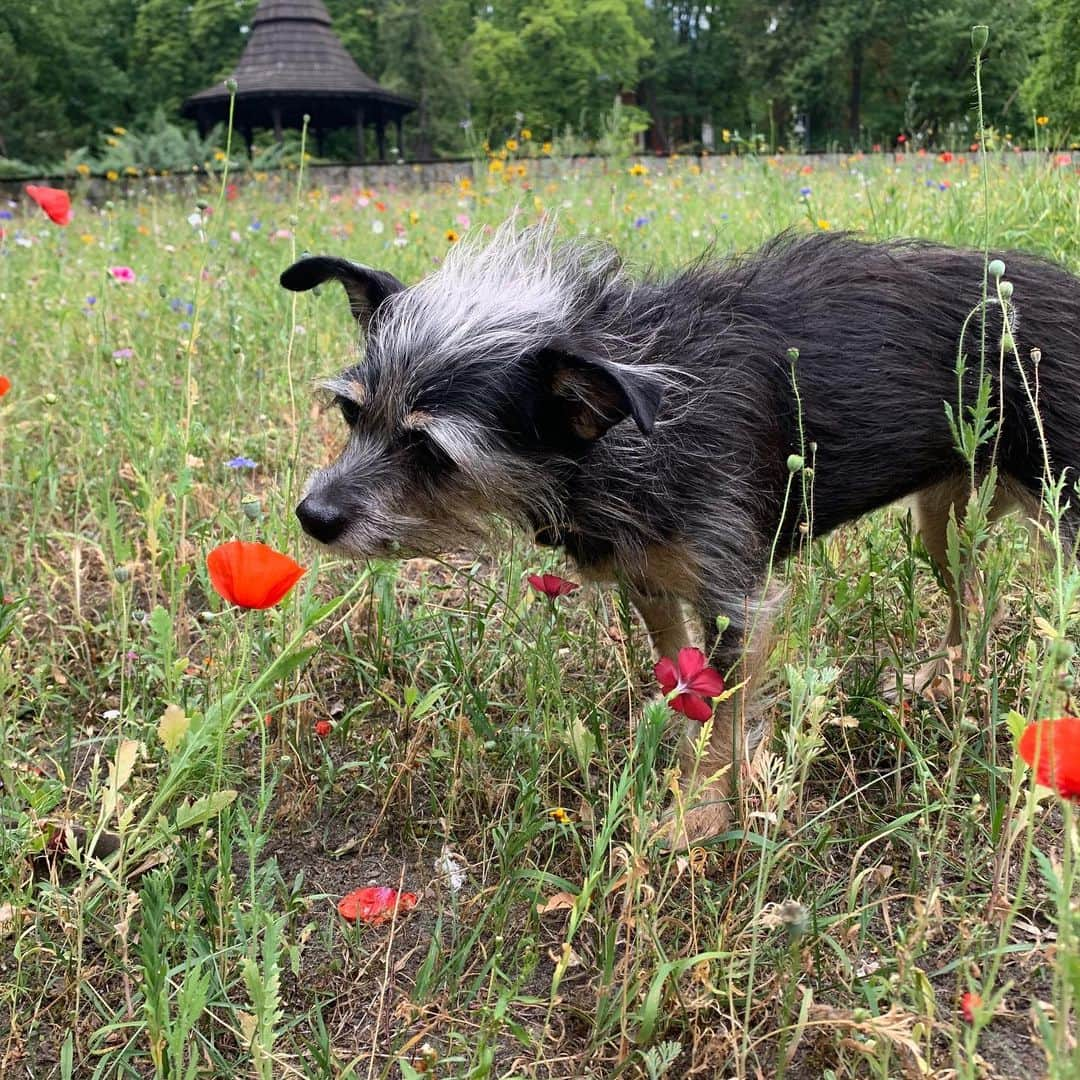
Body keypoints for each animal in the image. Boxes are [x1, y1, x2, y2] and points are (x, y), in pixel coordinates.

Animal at [282, 227, 1080, 842]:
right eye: (352, 414)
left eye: (431, 451)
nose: (313, 517)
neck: (614, 438)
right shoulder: (650, 580)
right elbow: (679, 669)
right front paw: (677, 738)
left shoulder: (740, 602)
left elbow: (723, 718)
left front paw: (697, 811)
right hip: (943, 521)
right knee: (970, 599)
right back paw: (943, 676)